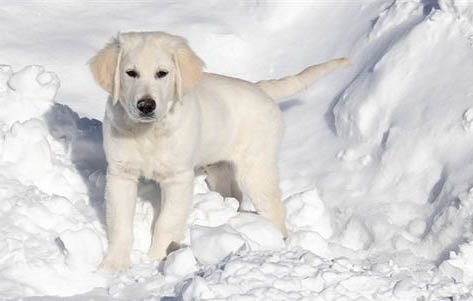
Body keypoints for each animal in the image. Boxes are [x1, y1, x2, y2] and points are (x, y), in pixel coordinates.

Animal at [89, 31, 346, 270]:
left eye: (162, 73)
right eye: (130, 73)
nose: (146, 105)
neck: (148, 132)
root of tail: (260, 89)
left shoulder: (178, 178)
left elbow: (166, 222)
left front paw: (156, 260)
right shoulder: (120, 175)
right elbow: (120, 223)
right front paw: (113, 266)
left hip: (256, 168)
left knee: (274, 207)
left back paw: (276, 242)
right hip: (219, 169)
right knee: (234, 195)